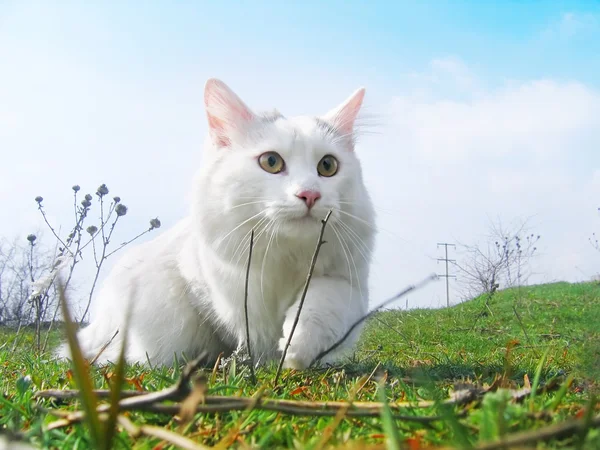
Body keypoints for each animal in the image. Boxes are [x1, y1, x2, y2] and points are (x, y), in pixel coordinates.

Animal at [56, 79, 376, 370]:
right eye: (271, 162)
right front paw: (259, 361)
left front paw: (296, 348)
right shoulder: (228, 288)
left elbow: (322, 304)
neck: (287, 254)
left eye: (327, 166)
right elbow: (251, 333)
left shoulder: (348, 283)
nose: (309, 194)